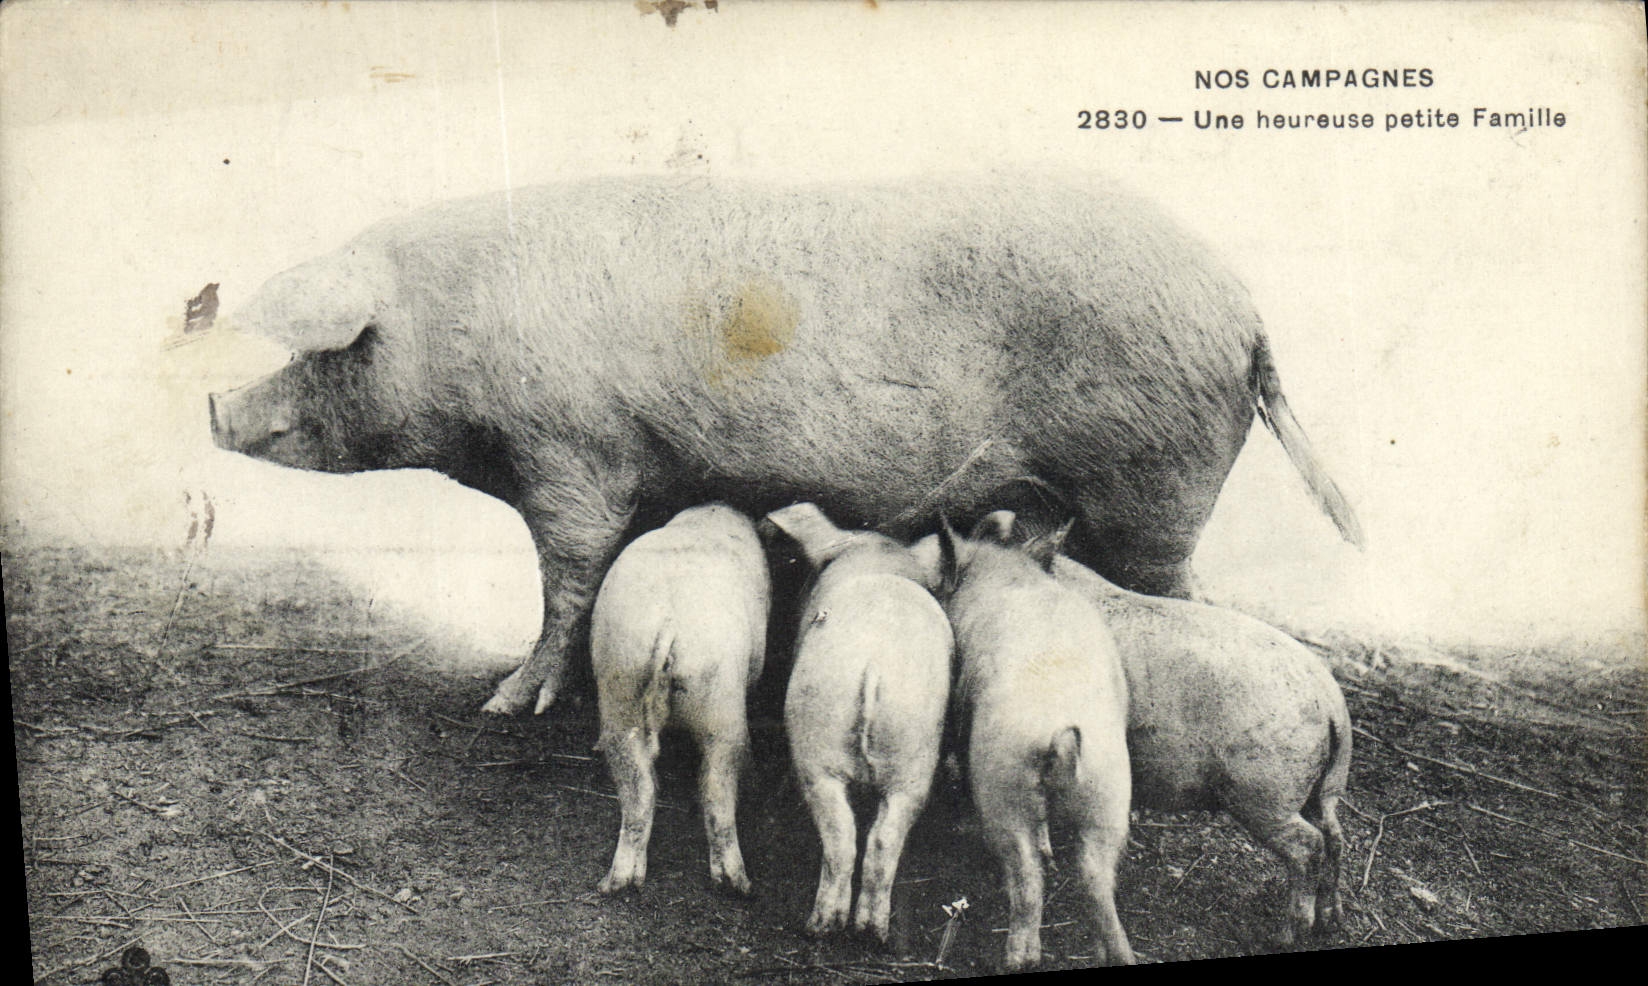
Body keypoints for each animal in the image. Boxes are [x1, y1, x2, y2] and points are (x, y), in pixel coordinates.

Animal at [205, 176, 1364, 718]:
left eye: (325, 351)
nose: (212, 408)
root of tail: (1247, 312)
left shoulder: (569, 453)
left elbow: (567, 577)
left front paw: (504, 701)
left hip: (1153, 483)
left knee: (1187, 599)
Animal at [587, 504, 770, 895]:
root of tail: (669, 624)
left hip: (620, 680)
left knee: (637, 789)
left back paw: (618, 882)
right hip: (719, 700)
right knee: (717, 788)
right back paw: (737, 883)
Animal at [762, 502, 952, 942]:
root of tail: (873, 668)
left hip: (818, 741)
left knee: (842, 837)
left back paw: (821, 926)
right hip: (912, 754)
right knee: (881, 840)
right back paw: (871, 930)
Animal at [934, 515, 1136, 970]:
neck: (1010, 574)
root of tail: (1061, 740)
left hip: (1003, 788)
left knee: (1027, 881)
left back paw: (1017, 959)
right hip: (1108, 793)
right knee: (1096, 881)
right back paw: (1117, 953)